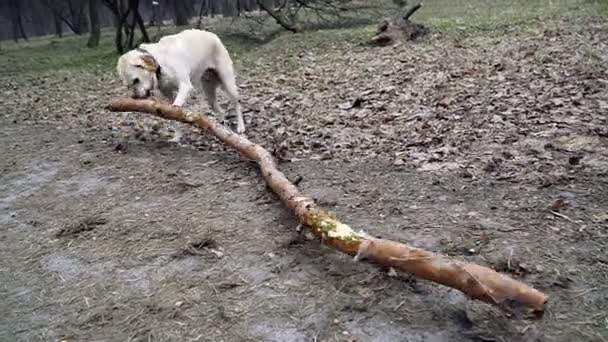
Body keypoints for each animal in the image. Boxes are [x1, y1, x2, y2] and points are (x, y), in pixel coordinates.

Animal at [116, 28, 245, 138]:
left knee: (237, 103)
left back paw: (240, 127)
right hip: (209, 93)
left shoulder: (185, 86)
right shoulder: (168, 94)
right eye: (128, 86)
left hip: (228, 83)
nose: (134, 97)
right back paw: (221, 128)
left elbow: (176, 107)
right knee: (220, 110)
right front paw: (177, 137)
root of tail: (213, 35)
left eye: (136, 80)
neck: (160, 62)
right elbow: (172, 116)